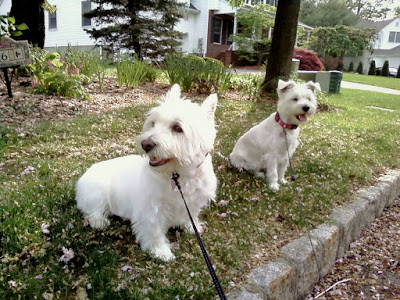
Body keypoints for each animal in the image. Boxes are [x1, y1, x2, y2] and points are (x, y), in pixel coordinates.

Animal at [76, 84, 219, 260]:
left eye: (177, 128)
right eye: (153, 123)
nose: (146, 144)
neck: (177, 175)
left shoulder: (192, 202)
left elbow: (189, 215)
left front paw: (192, 227)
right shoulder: (150, 210)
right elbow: (154, 231)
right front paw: (161, 251)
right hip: (97, 193)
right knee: (92, 210)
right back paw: (99, 221)